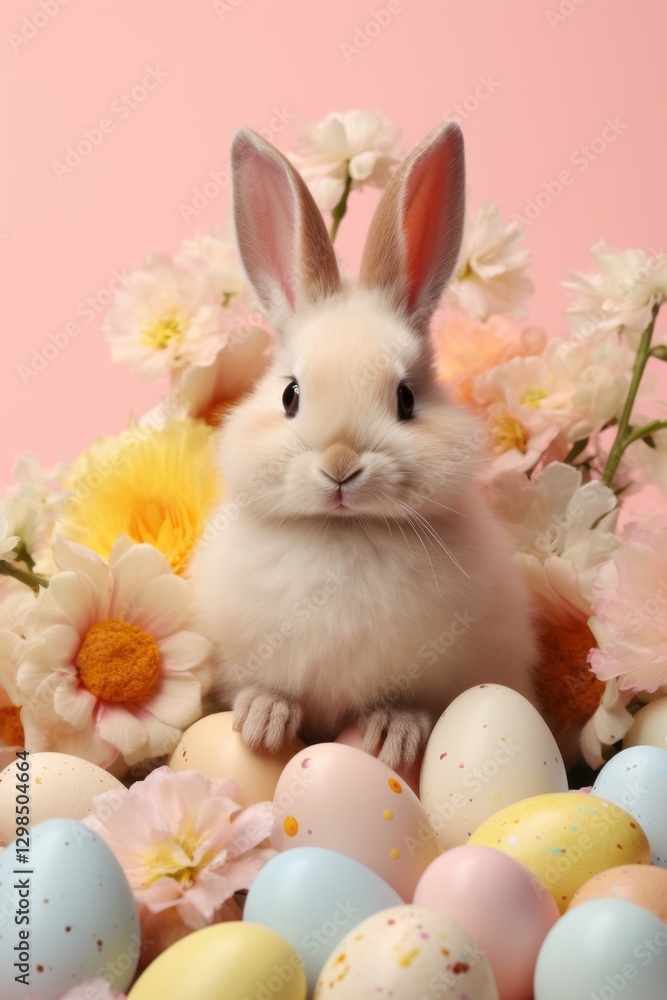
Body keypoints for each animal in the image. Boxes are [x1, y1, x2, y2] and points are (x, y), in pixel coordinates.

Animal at [188, 120, 538, 770]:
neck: (342, 530)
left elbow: (412, 702)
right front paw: (262, 723)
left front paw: (393, 732)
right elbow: (264, 687)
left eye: (405, 399)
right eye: (290, 395)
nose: (340, 466)